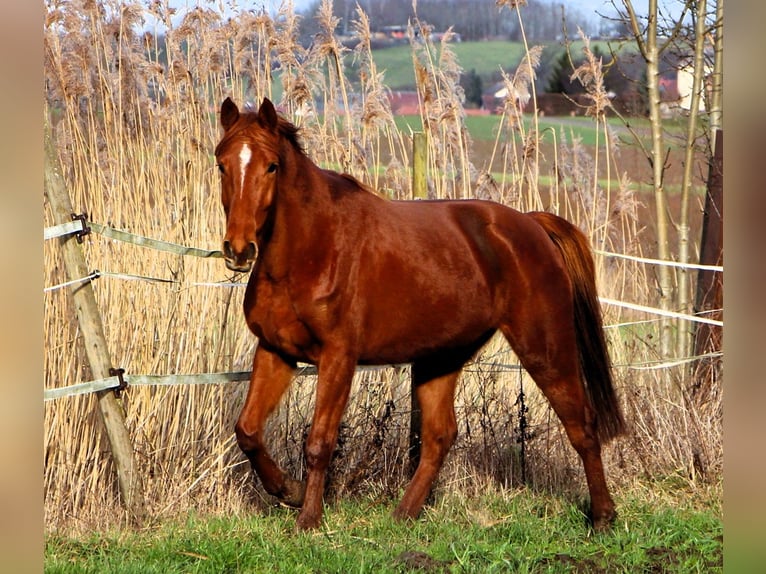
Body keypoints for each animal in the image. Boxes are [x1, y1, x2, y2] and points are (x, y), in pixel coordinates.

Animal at [214, 97, 626, 531]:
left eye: (271, 166)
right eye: (221, 164)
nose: (238, 249)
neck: (312, 249)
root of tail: (531, 224)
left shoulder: (338, 357)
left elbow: (319, 442)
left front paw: (308, 519)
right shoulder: (275, 350)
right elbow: (248, 430)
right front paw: (287, 491)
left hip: (544, 348)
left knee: (581, 424)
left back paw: (602, 516)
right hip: (441, 357)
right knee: (440, 436)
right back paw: (403, 514)